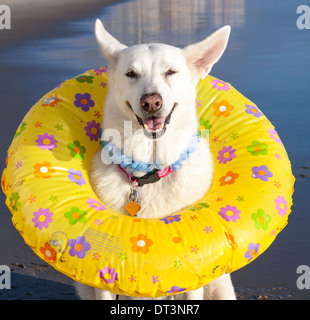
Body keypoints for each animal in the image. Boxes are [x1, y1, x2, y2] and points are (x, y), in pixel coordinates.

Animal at [75, 20, 235, 300]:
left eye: (170, 72)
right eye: (131, 74)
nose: (151, 102)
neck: (149, 170)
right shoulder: (100, 278)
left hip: (221, 286)